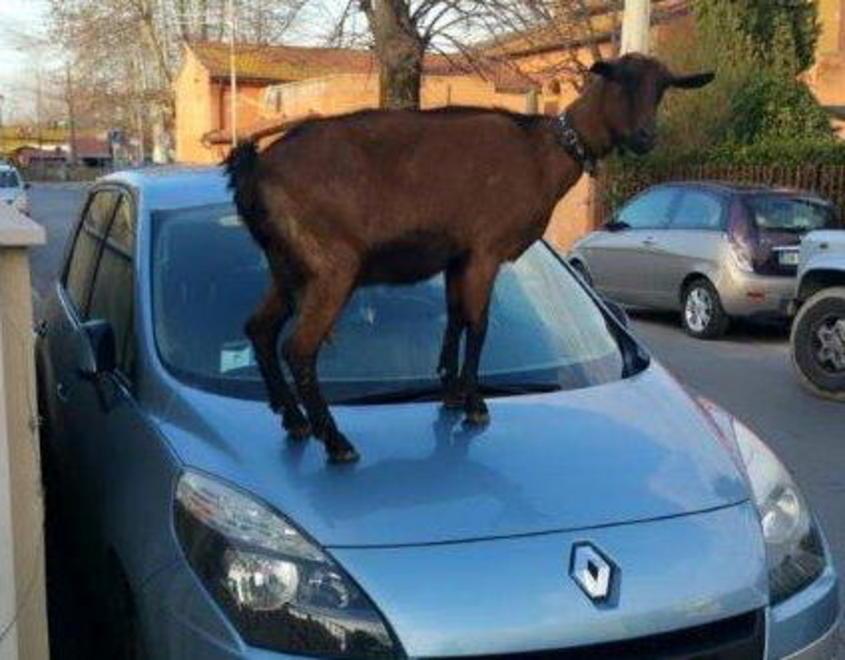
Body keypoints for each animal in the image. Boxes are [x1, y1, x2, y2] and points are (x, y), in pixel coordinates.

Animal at [225, 53, 714, 463]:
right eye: (619, 81)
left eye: (662, 88)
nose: (646, 137)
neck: (542, 152)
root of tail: (254, 171)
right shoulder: (485, 250)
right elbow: (479, 325)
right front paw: (475, 403)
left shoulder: (457, 256)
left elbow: (456, 318)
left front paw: (451, 391)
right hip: (332, 265)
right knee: (299, 347)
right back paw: (335, 441)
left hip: (288, 266)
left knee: (259, 327)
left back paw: (294, 420)